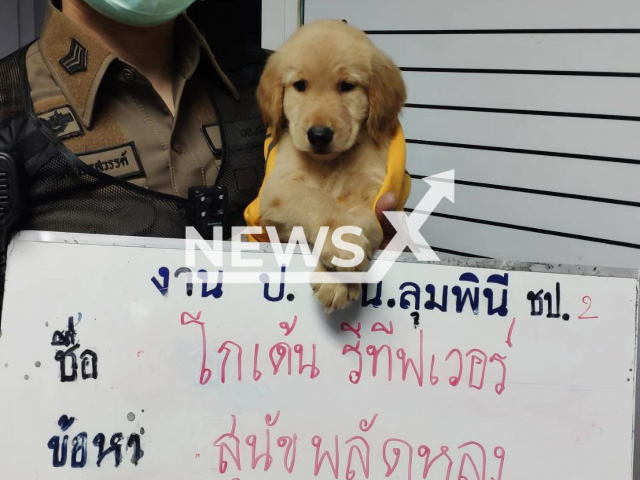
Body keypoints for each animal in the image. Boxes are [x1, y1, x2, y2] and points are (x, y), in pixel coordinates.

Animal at [255, 20, 404, 312]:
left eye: (347, 86)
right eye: (300, 85)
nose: (319, 135)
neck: (331, 163)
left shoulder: (372, 192)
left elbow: (362, 219)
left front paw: (338, 276)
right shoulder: (278, 190)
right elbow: (318, 201)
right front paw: (341, 248)